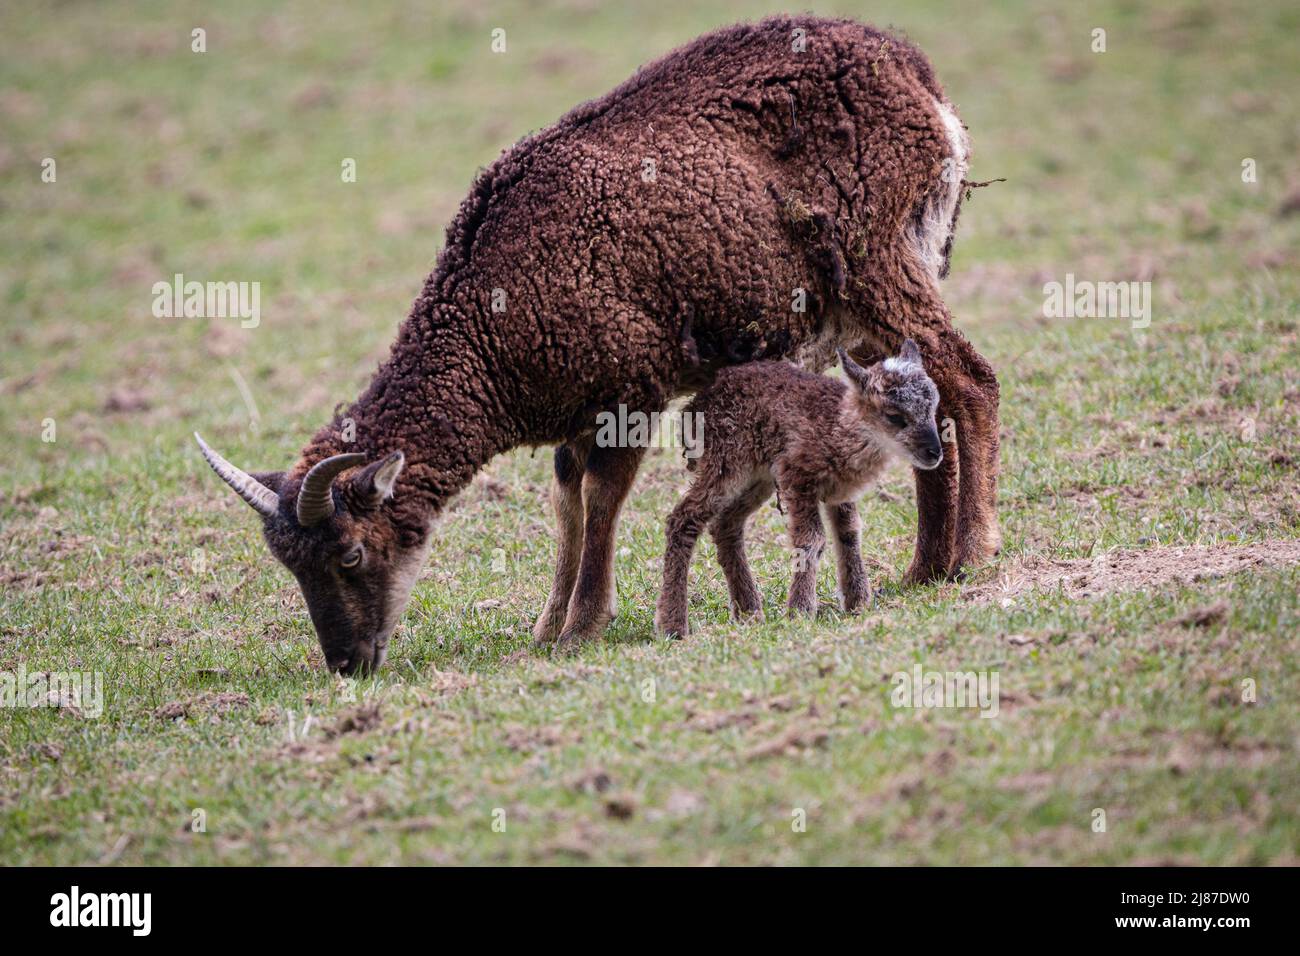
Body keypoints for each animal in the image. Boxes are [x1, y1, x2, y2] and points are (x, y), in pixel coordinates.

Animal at [655, 343, 941, 634]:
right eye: (894, 416)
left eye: (933, 408)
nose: (934, 453)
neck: (840, 425)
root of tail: (693, 407)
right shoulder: (797, 476)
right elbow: (812, 538)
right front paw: (800, 611)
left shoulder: (839, 490)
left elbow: (849, 534)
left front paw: (858, 603)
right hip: (726, 462)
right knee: (683, 518)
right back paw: (673, 625)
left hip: (758, 477)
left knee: (726, 524)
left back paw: (748, 611)